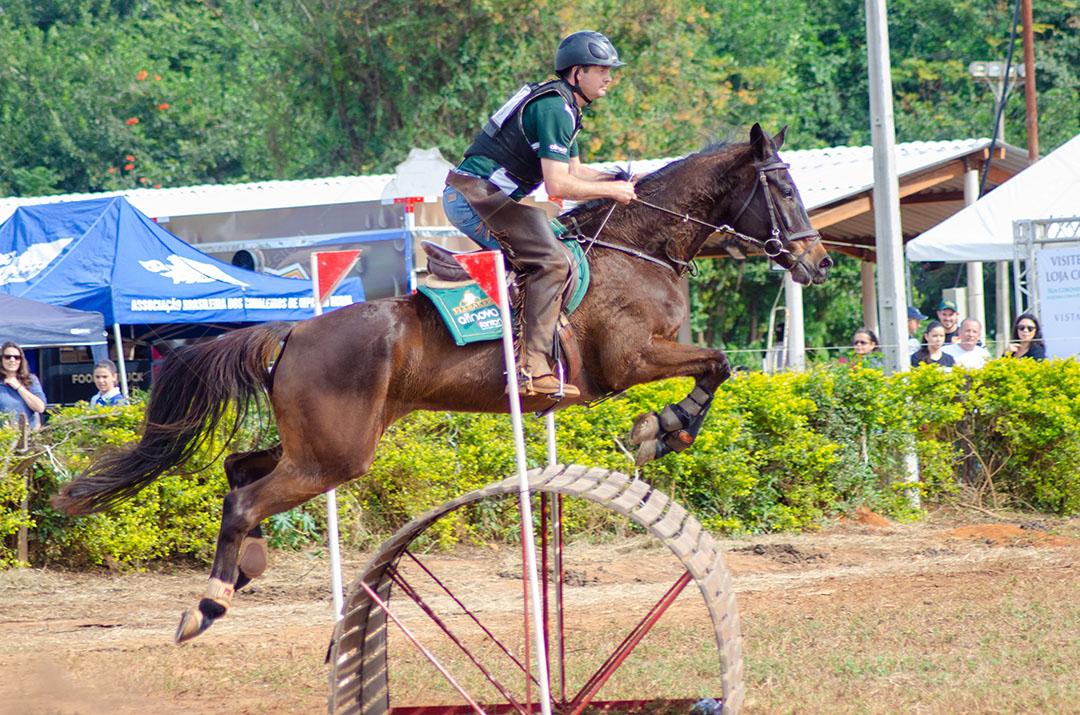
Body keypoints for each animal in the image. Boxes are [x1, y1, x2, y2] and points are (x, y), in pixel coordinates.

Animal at [52, 123, 833, 643]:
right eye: (783, 187)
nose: (819, 262)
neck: (638, 246)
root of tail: (294, 330)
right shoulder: (630, 360)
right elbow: (718, 362)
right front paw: (661, 430)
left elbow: (719, 364)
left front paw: (664, 429)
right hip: (336, 453)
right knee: (245, 495)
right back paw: (207, 603)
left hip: (325, 441)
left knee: (239, 469)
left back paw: (244, 568)